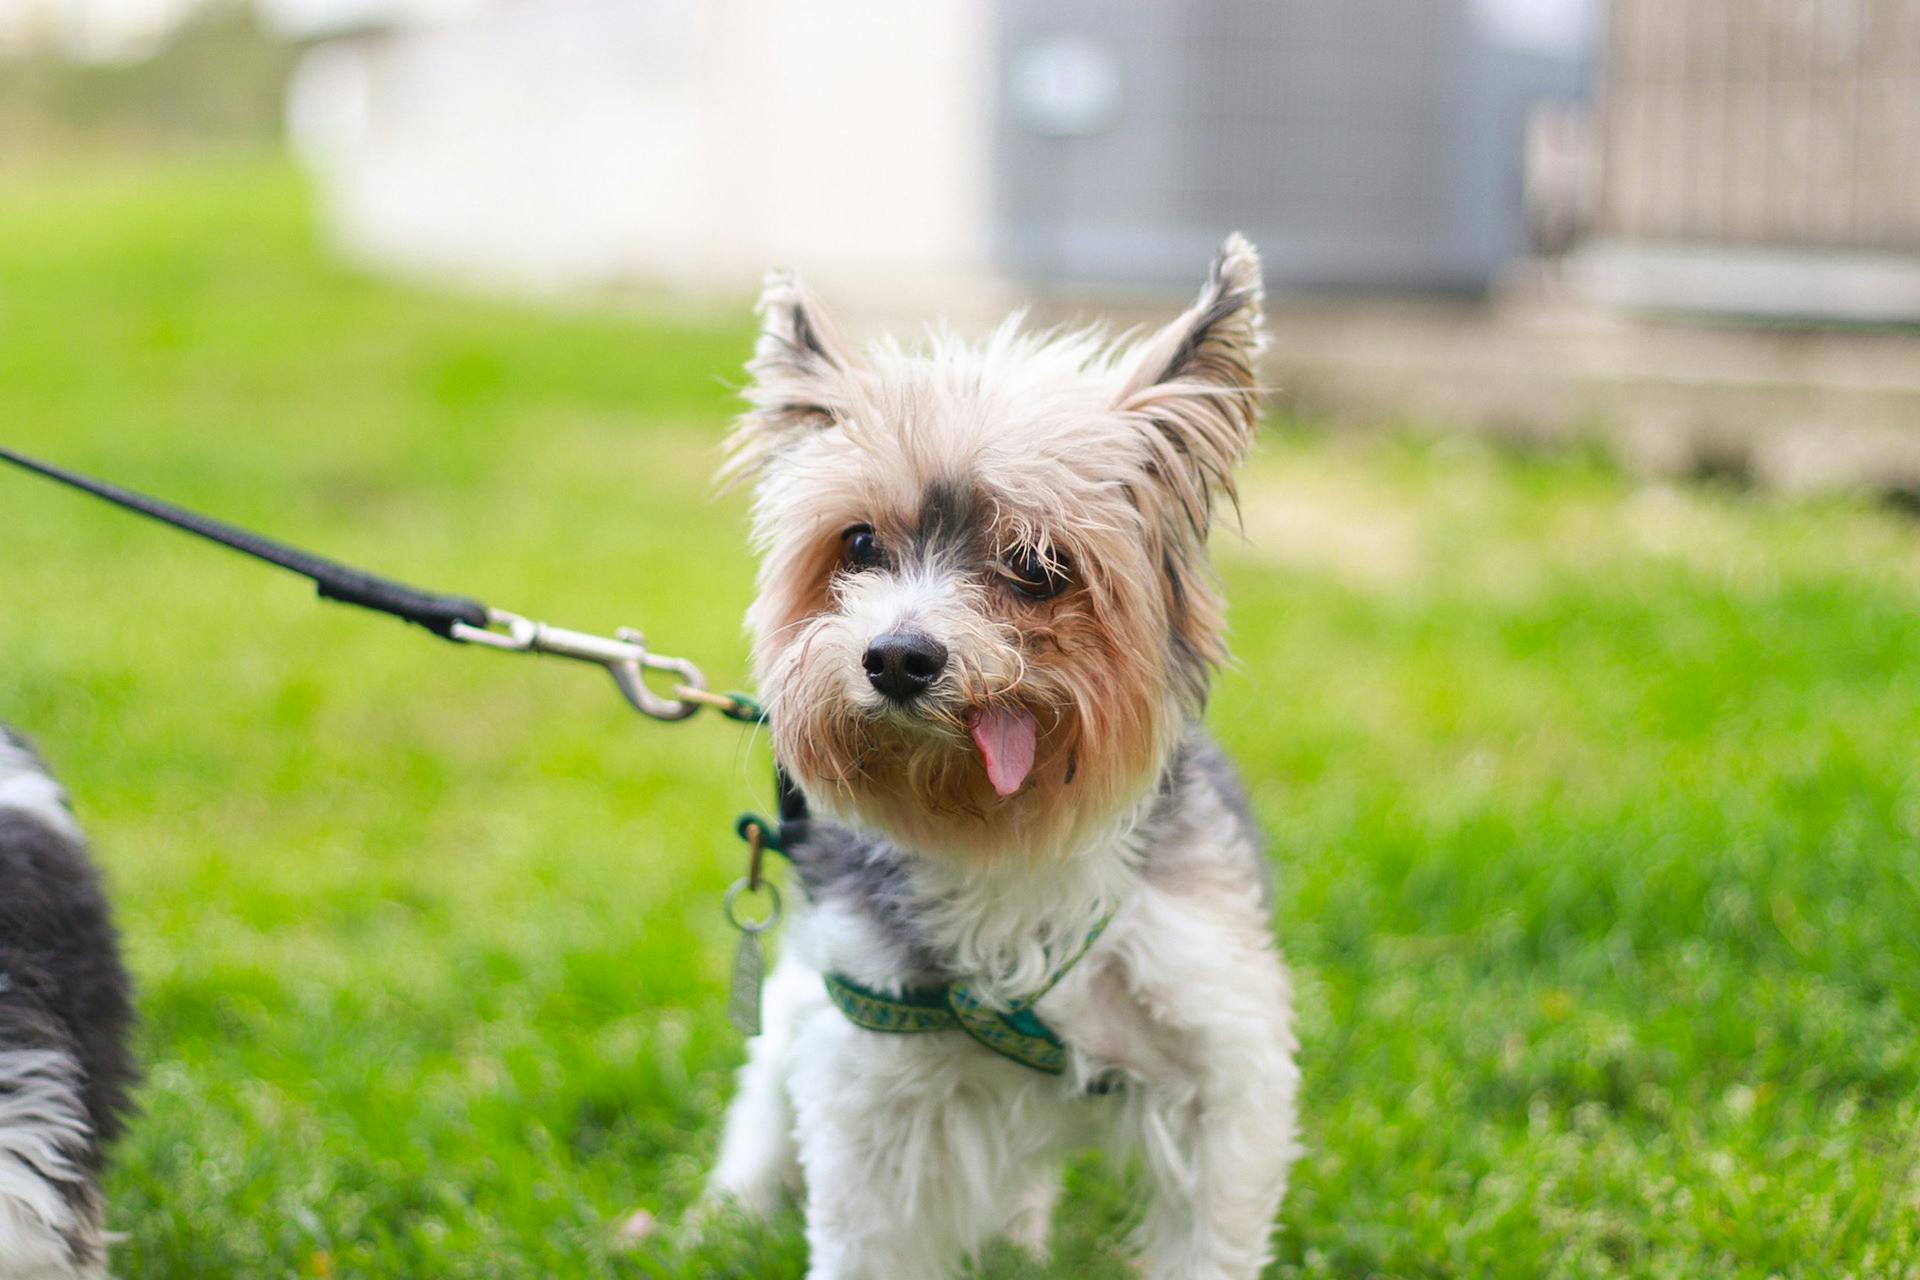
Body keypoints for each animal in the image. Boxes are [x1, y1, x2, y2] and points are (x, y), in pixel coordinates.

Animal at [698, 235, 1297, 1274]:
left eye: (1038, 565)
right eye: (859, 543)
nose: (897, 656)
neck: (1001, 842)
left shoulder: (1221, 1064)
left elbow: (1207, 1232)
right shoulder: (870, 1065)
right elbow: (867, 1234)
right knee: (765, 1091)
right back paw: (720, 1214)